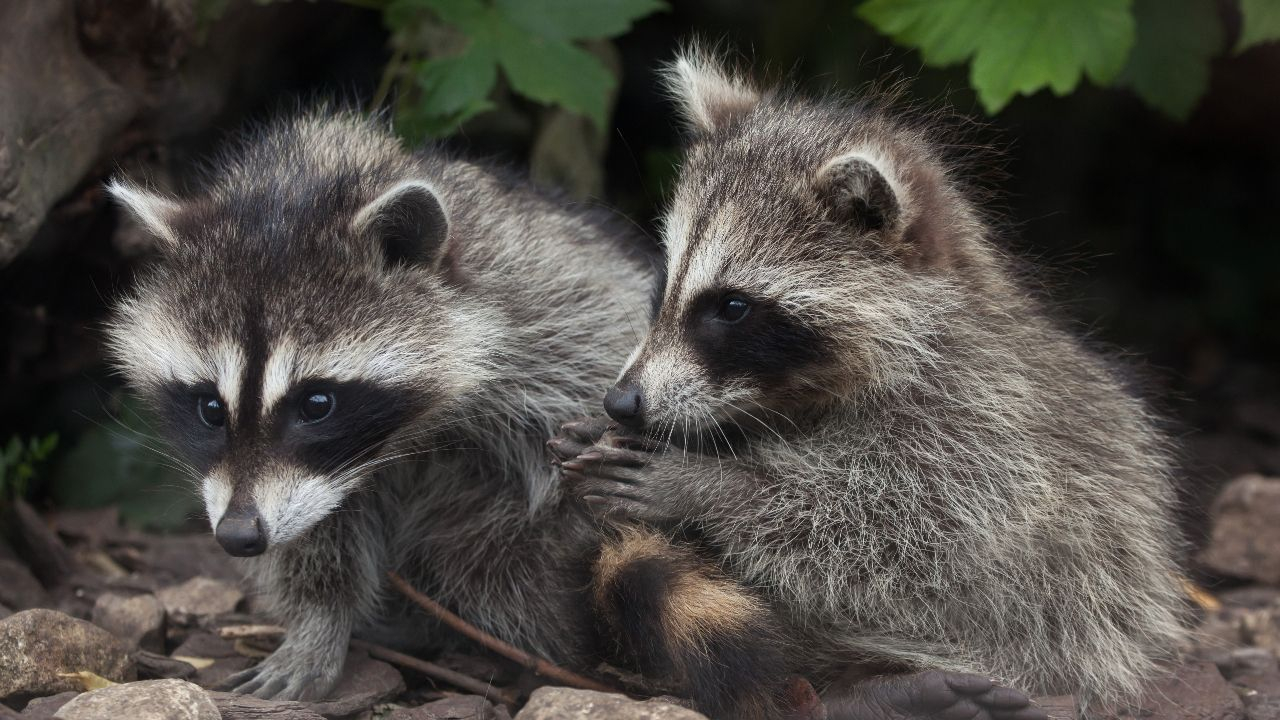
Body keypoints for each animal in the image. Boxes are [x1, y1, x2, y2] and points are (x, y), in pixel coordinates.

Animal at [102, 110, 650, 696]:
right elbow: (313, 537)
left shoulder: (557, 311)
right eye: (209, 407)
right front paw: (319, 619)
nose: (238, 535)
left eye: (317, 403)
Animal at [558, 49, 1187, 712]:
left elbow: (891, 537)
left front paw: (711, 486)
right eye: (666, 282)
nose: (622, 401)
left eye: (731, 306)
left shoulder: (984, 426)